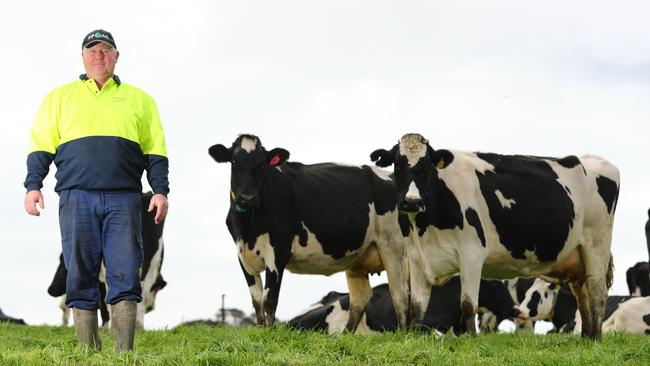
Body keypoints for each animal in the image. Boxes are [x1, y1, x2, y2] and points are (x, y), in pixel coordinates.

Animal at [210, 136, 408, 330]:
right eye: (234, 161)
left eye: (262, 165)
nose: (247, 198)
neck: (248, 228)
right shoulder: (243, 255)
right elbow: (257, 301)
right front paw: (261, 331)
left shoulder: (277, 253)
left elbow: (269, 300)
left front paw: (269, 334)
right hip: (359, 258)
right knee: (360, 299)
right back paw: (347, 334)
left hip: (393, 247)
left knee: (400, 294)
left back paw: (404, 333)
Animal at [370, 133, 616, 338]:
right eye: (398, 165)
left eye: (427, 166)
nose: (412, 202)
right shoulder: (416, 257)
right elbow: (418, 306)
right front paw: (415, 337)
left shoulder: (471, 254)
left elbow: (468, 305)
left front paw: (471, 339)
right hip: (577, 258)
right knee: (582, 297)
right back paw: (585, 338)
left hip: (597, 246)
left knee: (597, 295)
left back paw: (596, 340)